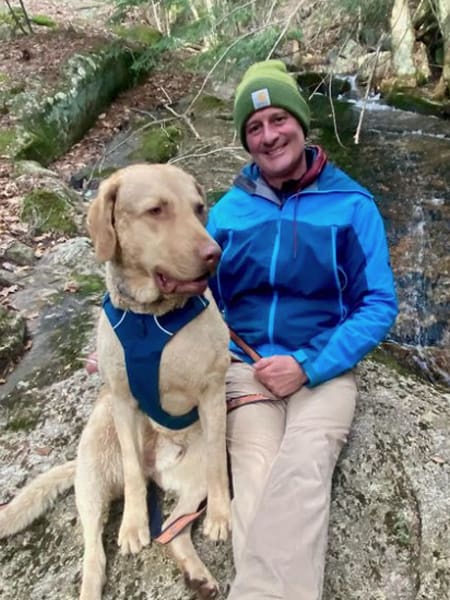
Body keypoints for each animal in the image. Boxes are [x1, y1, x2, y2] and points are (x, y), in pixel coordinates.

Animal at [0, 164, 232, 600]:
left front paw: (222, 515)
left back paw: (197, 574)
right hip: (92, 480)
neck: (151, 318)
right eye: (156, 210)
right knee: (94, 552)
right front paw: (134, 524)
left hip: (191, 483)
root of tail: (159, 467)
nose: (215, 254)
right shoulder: (124, 402)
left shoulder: (212, 393)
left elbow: (217, 467)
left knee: (173, 530)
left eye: (199, 208)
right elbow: (131, 469)